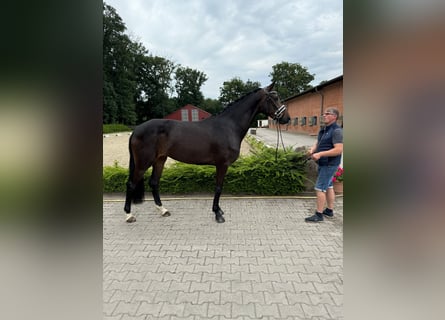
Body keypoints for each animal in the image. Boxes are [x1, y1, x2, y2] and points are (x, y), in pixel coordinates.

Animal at [122, 82, 288, 222]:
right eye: (275, 98)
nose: (286, 118)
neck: (229, 126)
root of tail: (136, 130)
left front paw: (219, 210)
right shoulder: (222, 164)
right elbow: (218, 188)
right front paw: (217, 214)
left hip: (160, 160)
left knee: (154, 183)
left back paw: (163, 210)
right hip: (143, 163)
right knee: (131, 184)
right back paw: (129, 215)